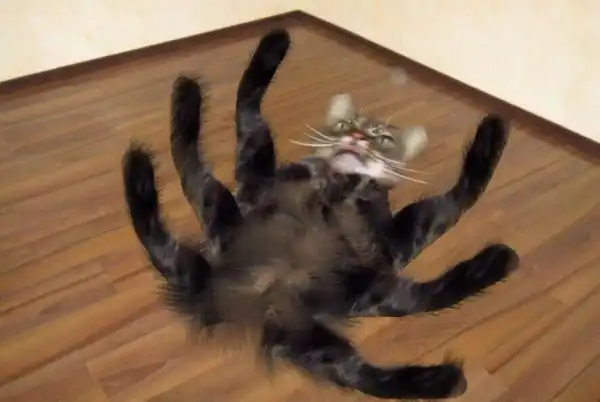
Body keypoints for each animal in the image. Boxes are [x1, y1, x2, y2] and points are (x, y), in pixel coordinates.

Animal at [121, 28, 518, 400]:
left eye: (383, 139)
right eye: (345, 126)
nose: (356, 139)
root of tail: (245, 300)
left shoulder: (384, 244)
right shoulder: (255, 175)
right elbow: (248, 106)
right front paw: (275, 44)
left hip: (356, 303)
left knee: (391, 344)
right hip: (230, 217)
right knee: (185, 163)